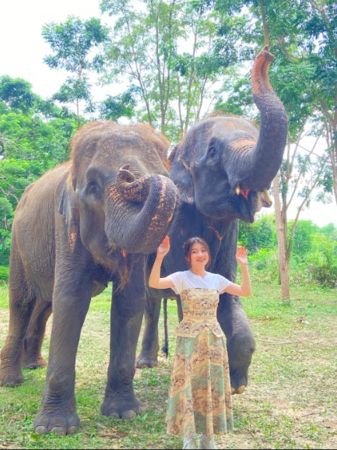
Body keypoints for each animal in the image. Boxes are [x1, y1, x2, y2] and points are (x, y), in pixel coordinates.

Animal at [0, 121, 177, 434]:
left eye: (166, 175)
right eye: (93, 186)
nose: (128, 173)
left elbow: (129, 303)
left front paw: (124, 414)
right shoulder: (65, 223)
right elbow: (71, 299)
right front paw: (54, 429)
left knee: (44, 304)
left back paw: (35, 364)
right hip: (19, 246)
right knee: (22, 303)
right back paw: (12, 381)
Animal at [135, 46, 288, 394]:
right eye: (214, 151)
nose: (267, 54)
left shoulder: (228, 233)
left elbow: (227, 289)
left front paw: (237, 385)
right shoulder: (177, 225)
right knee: (149, 299)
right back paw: (145, 363)